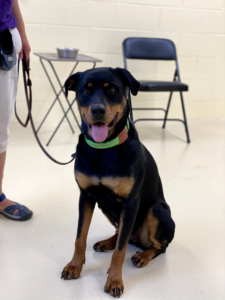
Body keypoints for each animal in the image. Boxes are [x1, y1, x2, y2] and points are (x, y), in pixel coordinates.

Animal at [61, 68, 176, 298]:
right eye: (85, 91)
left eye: (113, 90)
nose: (97, 110)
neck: (103, 149)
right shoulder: (86, 197)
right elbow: (80, 237)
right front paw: (74, 266)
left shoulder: (130, 203)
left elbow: (120, 251)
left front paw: (114, 280)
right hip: (106, 207)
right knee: (122, 233)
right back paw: (107, 242)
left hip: (157, 211)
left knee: (157, 246)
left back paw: (143, 255)